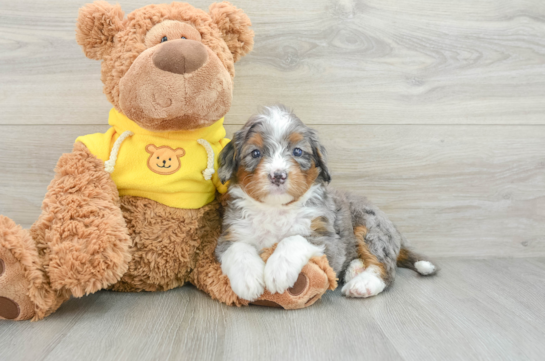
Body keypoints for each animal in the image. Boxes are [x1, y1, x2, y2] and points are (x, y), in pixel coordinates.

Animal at [215, 105, 436, 300]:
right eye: (255, 153)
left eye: (297, 151)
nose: (278, 176)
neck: (276, 209)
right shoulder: (231, 233)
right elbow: (238, 249)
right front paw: (248, 280)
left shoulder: (329, 240)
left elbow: (294, 239)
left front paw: (278, 270)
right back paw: (355, 269)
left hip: (370, 226)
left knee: (385, 267)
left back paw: (363, 283)